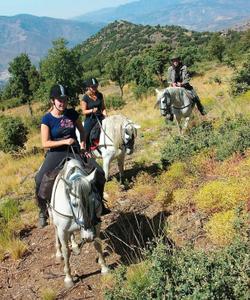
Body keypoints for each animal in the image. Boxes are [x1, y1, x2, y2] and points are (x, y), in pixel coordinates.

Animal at [49, 158, 108, 288]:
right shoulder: (62, 230)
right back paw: (58, 254)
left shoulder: (96, 224)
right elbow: (66, 251)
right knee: (56, 234)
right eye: (75, 204)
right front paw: (68, 278)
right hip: (54, 220)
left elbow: (97, 244)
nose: (88, 237)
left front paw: (104, 267)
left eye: (93, 201)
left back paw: (75, 246)